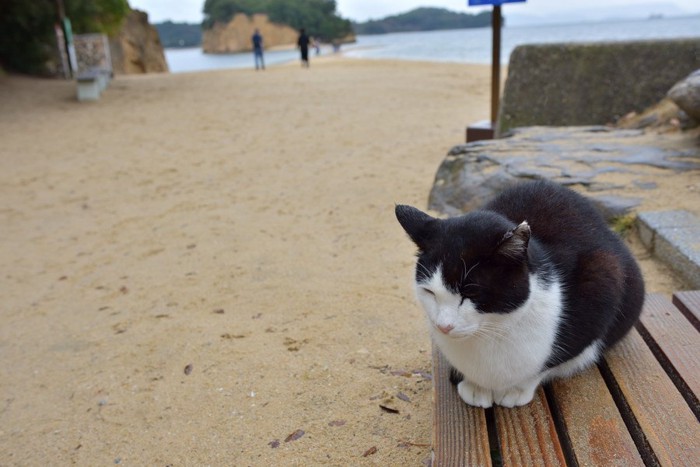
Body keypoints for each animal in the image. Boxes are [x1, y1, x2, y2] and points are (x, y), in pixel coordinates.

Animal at [394, 181, 644, 408]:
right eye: (429, 291)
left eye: (471, 293)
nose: (443, 327)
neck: (493, 329)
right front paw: (476, 385)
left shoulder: (602, 283)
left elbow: (550, 362)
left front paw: (516, 388)